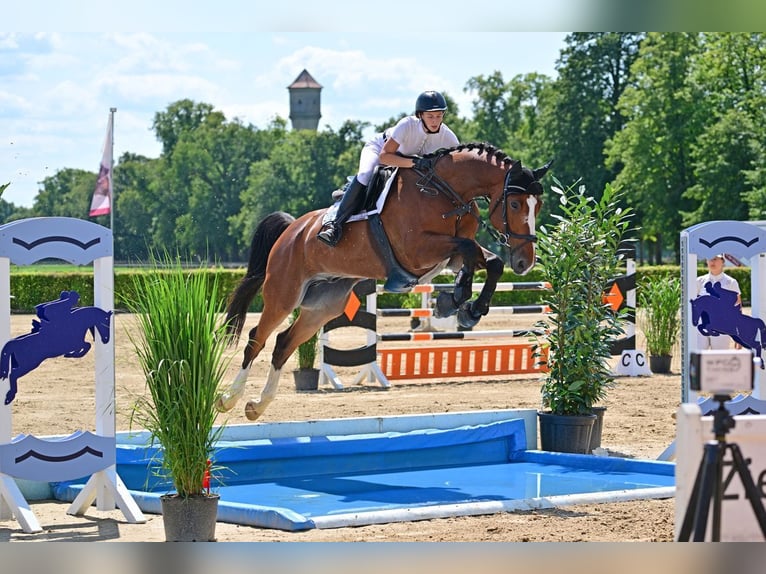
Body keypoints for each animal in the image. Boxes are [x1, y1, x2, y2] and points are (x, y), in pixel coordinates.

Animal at [218, 143, 552, 424]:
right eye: (515, 205)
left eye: (538, 205)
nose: (525, 262)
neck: (446, 192)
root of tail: (291, 229)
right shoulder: (418, 251)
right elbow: (469, 250)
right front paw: (457, 300)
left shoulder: (450, 253)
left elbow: (489, 261)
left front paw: (467, 308)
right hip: (284, 294)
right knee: (257, 338)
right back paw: (229, 399)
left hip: (324, 306)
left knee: (283, 343)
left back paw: (257, 405)